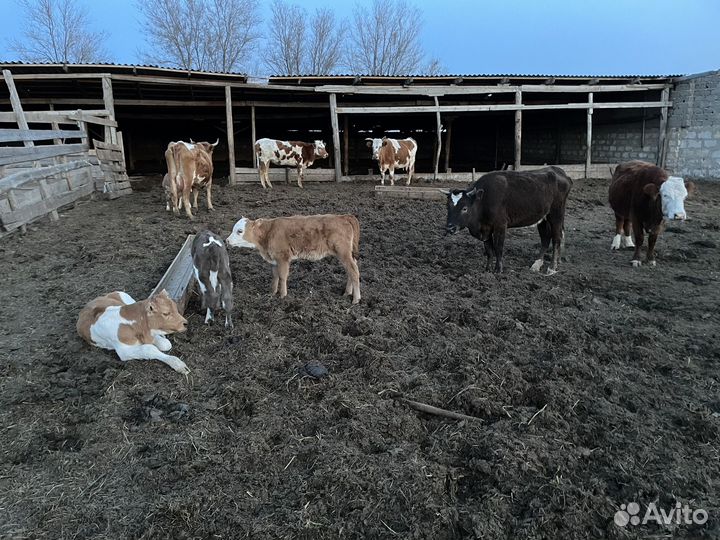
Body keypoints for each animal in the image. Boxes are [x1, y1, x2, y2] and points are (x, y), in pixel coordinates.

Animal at [226, 214, 361, 304]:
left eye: (240, 231)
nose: (226, 240)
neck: (268, 233)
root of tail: (343, 217)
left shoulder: (283, 257)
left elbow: (282, 276)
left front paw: (282, 296)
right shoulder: (274, 260)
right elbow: (275, 276)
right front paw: (272, 293)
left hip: (343, 252)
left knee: (354, 271)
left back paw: (356, 299)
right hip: (348, 254)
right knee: (351, 270)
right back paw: (347, 293)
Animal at [442, 167, 573, 275]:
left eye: (464, 208)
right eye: (447, 206)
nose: (450, 227)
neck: (483, 200)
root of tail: (558, 171)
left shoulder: (500, 225)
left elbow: (498, 248)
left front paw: (498, 270)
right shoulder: (486, 229)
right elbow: (489, 250)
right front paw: (487, 269)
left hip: (556, 214)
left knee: (556, 238)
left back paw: (552, 267)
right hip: (543, 218)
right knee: (545, 238)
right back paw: (537, 264)